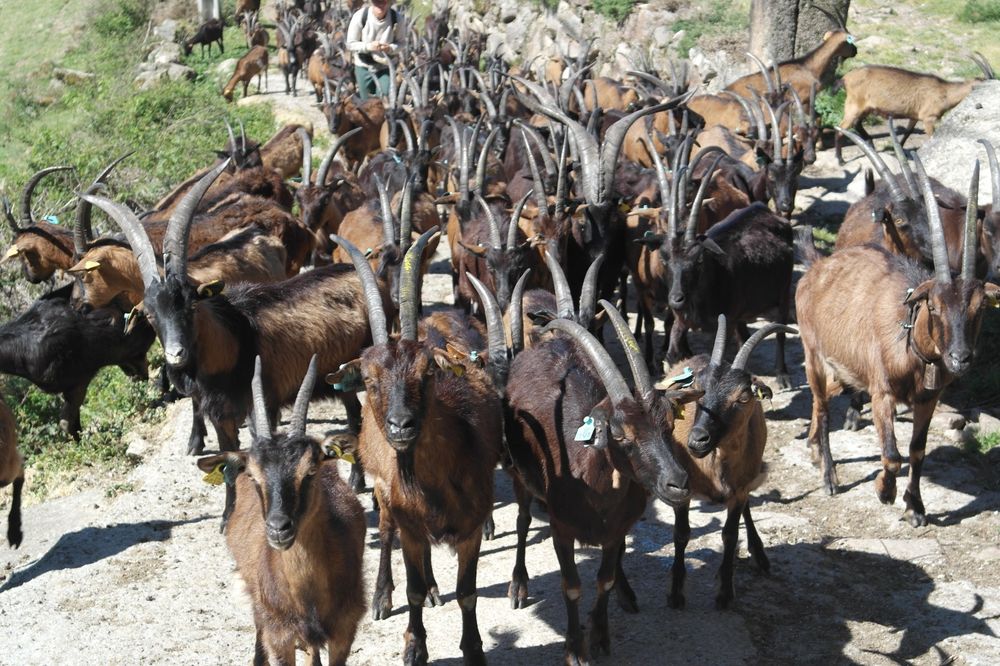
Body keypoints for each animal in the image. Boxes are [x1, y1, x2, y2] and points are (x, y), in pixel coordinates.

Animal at [328, 230, 502, 664]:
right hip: (384, 494)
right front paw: (414, 646)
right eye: (369, 379)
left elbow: (468, 593)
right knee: (388, 534)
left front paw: (473, 648)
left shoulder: (471, 528)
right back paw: (381, 597)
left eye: (427, 373)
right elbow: (413, 589)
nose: (401, 425)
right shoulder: (407, 523)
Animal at [504, 299, 701, 663]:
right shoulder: (561, 529)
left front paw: (600, 635)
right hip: (518, 472)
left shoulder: (616, 530)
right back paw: (518, 586)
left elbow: (604, 579)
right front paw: (575, 649)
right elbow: (571, 586)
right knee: (523, 519)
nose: (678, 483)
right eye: (619, 433)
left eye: (669, 424)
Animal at [664, 316, 792, 609]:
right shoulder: (682, 489)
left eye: (743, 397)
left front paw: (725, 592)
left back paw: (758, 555)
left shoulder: (739, 490)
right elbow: (681, 534)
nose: (698, 440)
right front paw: (675, 593)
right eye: (698, 390)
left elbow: (730, 534)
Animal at [796, 157, 1000, 527]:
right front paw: (884, 491)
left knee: (825, 402)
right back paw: (829, 475)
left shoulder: (928, 398)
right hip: (813, 355)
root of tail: (818, 266)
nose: (960, 358)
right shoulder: (882, 393)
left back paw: (815, 448)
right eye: (933, 306)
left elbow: (917, 451)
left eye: (979, 308)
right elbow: (892, 454)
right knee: (822, 407)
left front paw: (915, 507)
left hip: (845, 368)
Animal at [835, 54, 995, 160]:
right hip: (854, 105)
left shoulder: (915, 116)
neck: (945, 92)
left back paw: (869, 145)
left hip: (865, 108)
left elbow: (907, 133)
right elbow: (931, 137)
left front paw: (898, 150)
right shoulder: (928, 118)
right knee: (841, 128)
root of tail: (845, 78)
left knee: (856, 124)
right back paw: (840, 159)